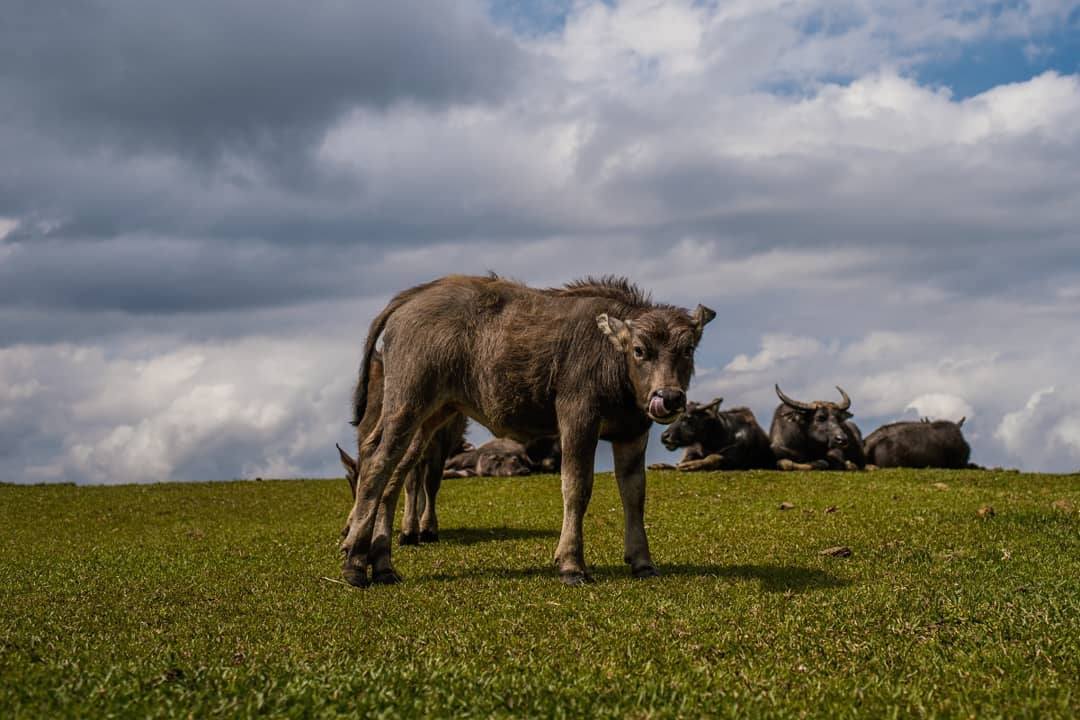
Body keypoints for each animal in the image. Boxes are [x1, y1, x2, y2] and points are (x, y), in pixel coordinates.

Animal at [343, 274, 717, 587]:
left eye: (687, 349)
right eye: (639, 350)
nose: (668, 397)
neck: (612, 362)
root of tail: (412, 297)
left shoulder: (633, 432)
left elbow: (634, 494)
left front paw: (642, 561)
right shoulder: (577, 418)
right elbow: (577, 487)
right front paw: (571, 565)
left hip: (431, 417)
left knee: (395, 472)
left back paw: (383, 564)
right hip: (406, 404)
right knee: (377, 462)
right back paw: (354, 563)